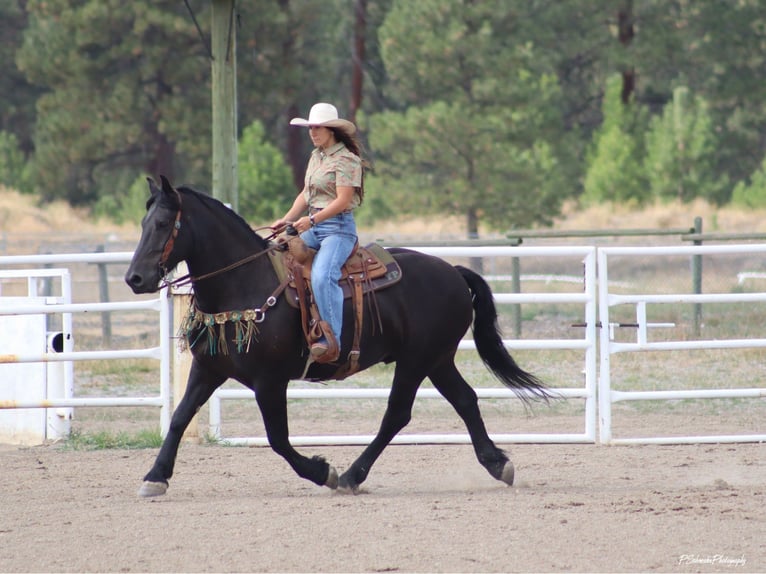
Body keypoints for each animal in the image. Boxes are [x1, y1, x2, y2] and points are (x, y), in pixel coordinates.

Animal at [125, 175, 550, 497]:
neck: (245, 283)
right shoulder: (209, 369)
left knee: (397, 413)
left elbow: (278, 438)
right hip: (438, 360)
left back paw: (350, 476)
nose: (134, 279)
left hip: (416, 360)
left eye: (162, 224)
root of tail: (453, 272)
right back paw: (498, 465)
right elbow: (180, 417)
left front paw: (322, 471)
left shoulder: (269, 381)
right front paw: (155, 477)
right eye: (143, 224)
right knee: (465, 400)